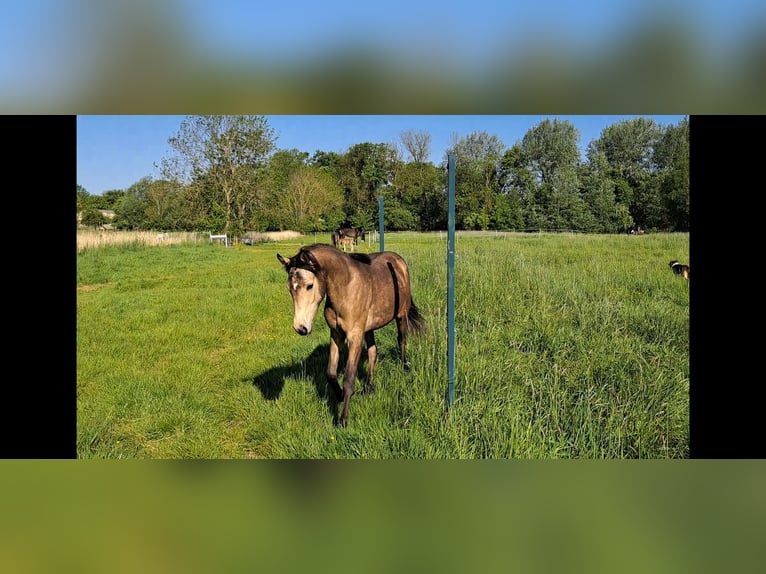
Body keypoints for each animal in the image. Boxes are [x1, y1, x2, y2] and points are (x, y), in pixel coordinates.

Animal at [278, 243, 426, 428]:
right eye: (289, 288)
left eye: (309, 285)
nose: (301, 328)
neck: (345, 288)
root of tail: (399, 261)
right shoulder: (336, 334)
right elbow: (331, 373)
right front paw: (340, 396)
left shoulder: (355, 337)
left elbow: (349, 379)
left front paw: (343, 419)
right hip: (368, 329)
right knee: (373, 351)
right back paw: (368, 386)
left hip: (401, 316)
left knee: (401, 341)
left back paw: (405, 366)